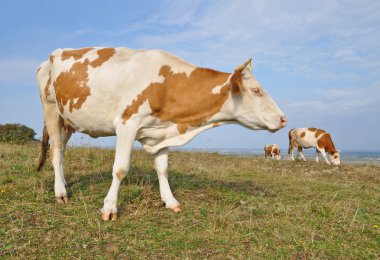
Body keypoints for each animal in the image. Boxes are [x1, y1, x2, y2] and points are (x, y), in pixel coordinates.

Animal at [37, 46, 286, 219]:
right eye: (256, 90)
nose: (284, 119)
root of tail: (51, 56)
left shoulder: (163, 131)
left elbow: (163, 169)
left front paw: (170, 201)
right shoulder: (127, 123)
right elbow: (120, 169)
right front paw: (109, 208)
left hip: (67, 120)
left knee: (61, 151)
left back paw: (64, 183)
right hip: (51, 109)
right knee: (56, 151)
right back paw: (60, 193)